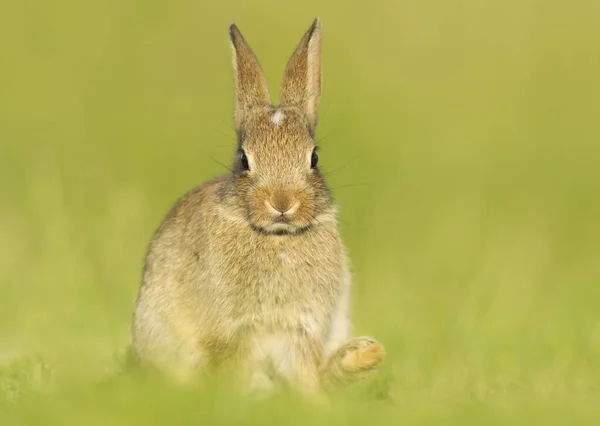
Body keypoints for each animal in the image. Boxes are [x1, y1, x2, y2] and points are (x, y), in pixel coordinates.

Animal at [131, 18, 384, 398]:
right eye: (243, 159)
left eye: (314, 158)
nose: (282, 203)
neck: (277, 238)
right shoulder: (235, 331)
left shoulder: (302, 328)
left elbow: (303, 371)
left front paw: (313, 402)